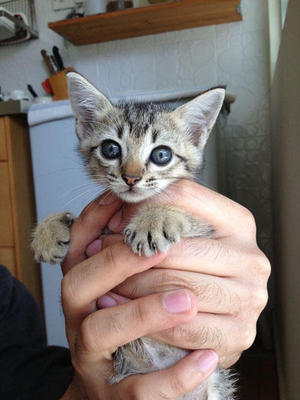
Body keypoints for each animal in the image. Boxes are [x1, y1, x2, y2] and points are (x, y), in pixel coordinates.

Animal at [32, 72, 234, 400]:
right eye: (111, 149)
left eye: (162, 154)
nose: (131, 177)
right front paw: (50, 229)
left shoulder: (207, 231)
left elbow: (193, 218)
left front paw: (155, 218)